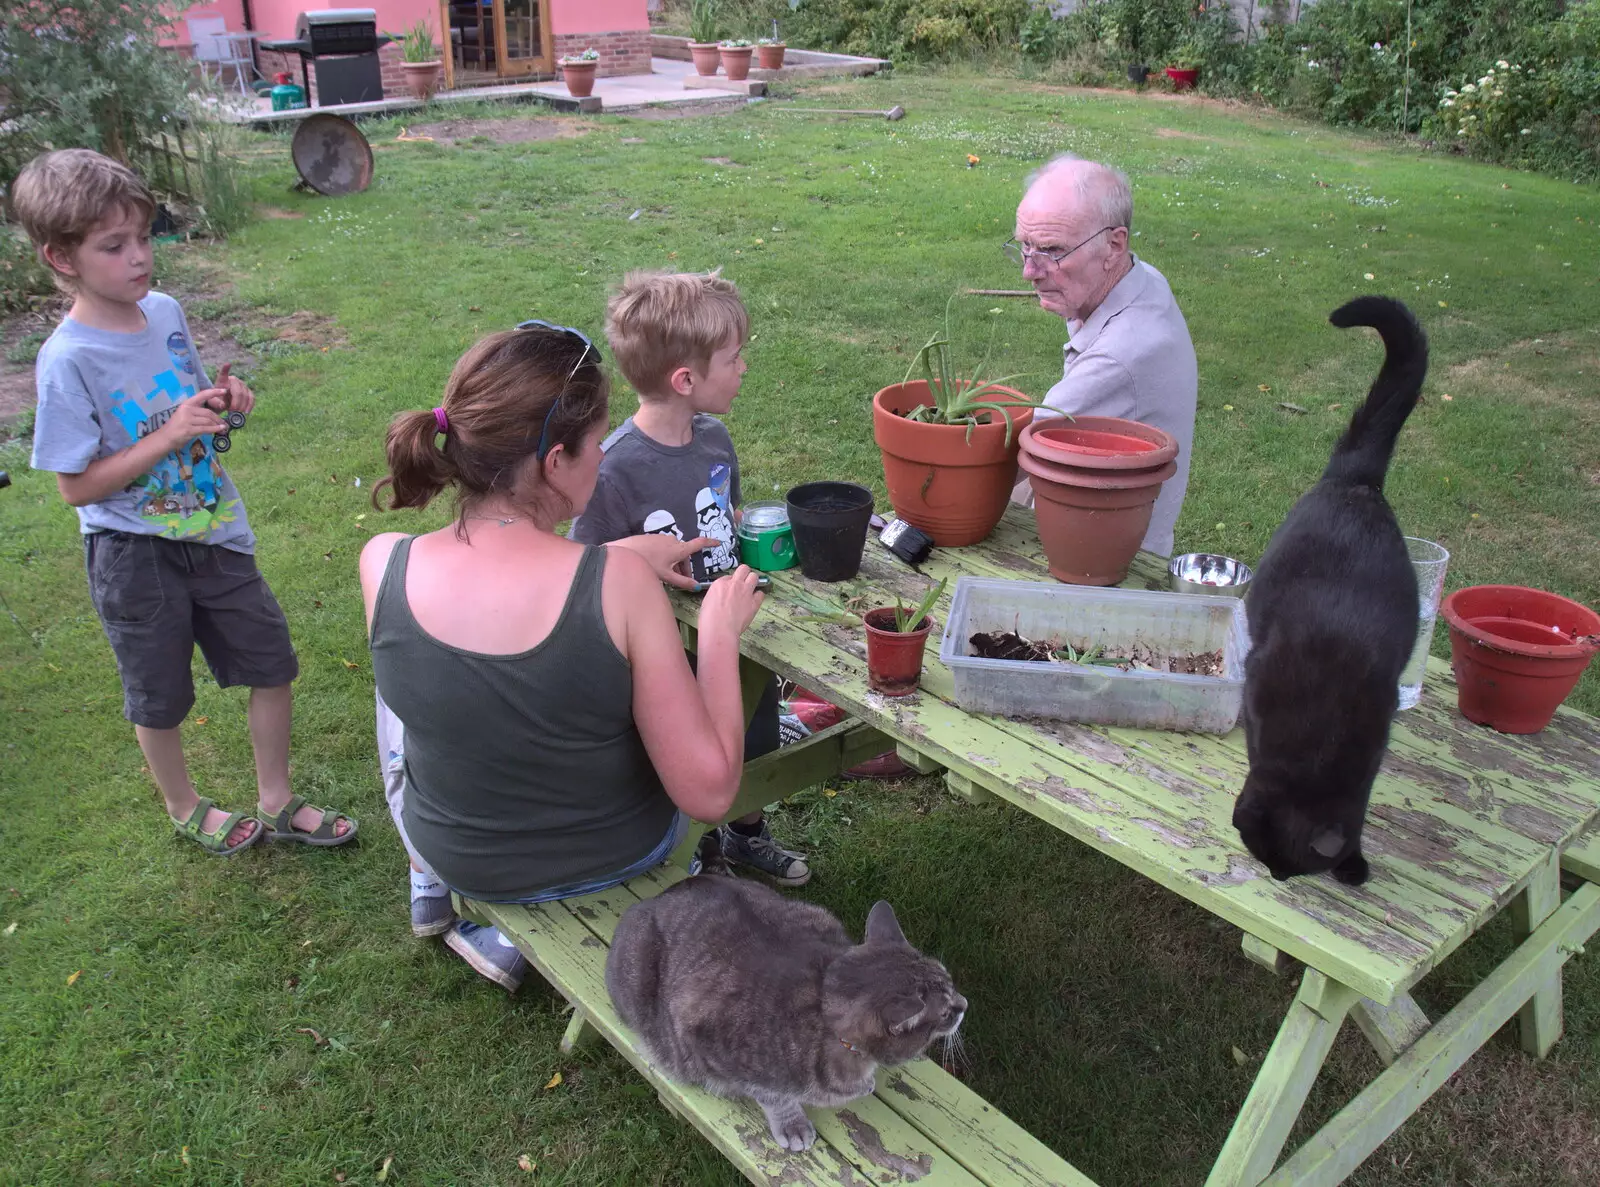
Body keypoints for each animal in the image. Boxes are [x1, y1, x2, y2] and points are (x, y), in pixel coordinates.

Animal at [604, 876, 966, 1145]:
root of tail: (660, 895)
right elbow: (771, 1094)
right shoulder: (708, 1039)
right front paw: (793, 1122)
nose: (964, 1004)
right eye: (944, 1012)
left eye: (951, 980)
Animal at [1228, 297, 1433, 889]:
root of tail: (1357, 478)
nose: (1277, 878)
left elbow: (1359, 811)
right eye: (1268, 861)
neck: (1317, 744)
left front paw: (1354, 862)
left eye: (1285, 868)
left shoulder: (1374, 740)